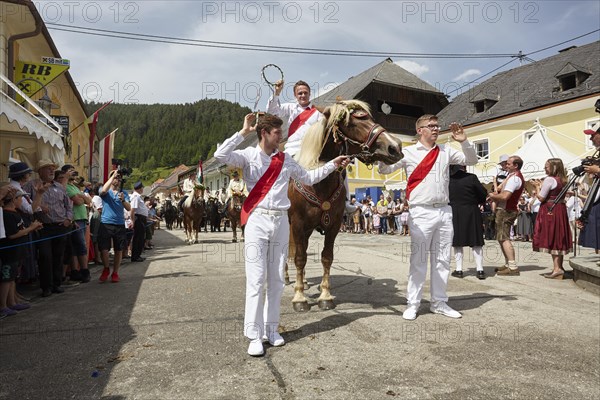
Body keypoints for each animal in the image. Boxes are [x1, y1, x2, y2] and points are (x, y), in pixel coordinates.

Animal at [290, 100, 404, 312]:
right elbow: (300, 258)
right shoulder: (298, 224)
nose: (395, 146)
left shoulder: (333, 225)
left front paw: (325, 295)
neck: (317, 180)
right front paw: (299, 298)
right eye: (352, 123)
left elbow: (327, 257)